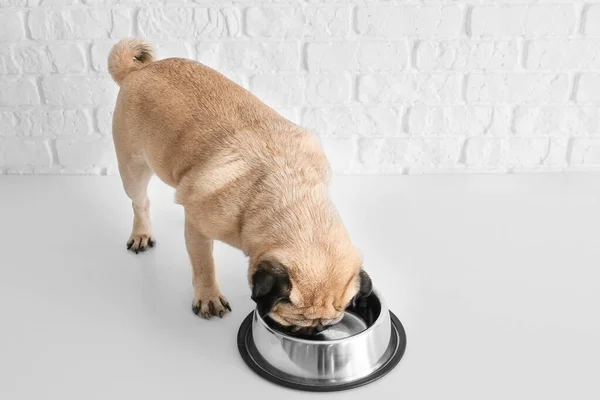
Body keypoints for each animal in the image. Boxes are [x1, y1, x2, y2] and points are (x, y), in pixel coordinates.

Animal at [107, 39, 370, 332]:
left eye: (324, 326)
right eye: (292, 326)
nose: (313, 332)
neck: (286, 194)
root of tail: (137, 70)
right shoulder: (199, 228)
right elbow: (204, 265)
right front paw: (208, 297)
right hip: (132, 167)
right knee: (140, 202)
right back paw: (141, 233)